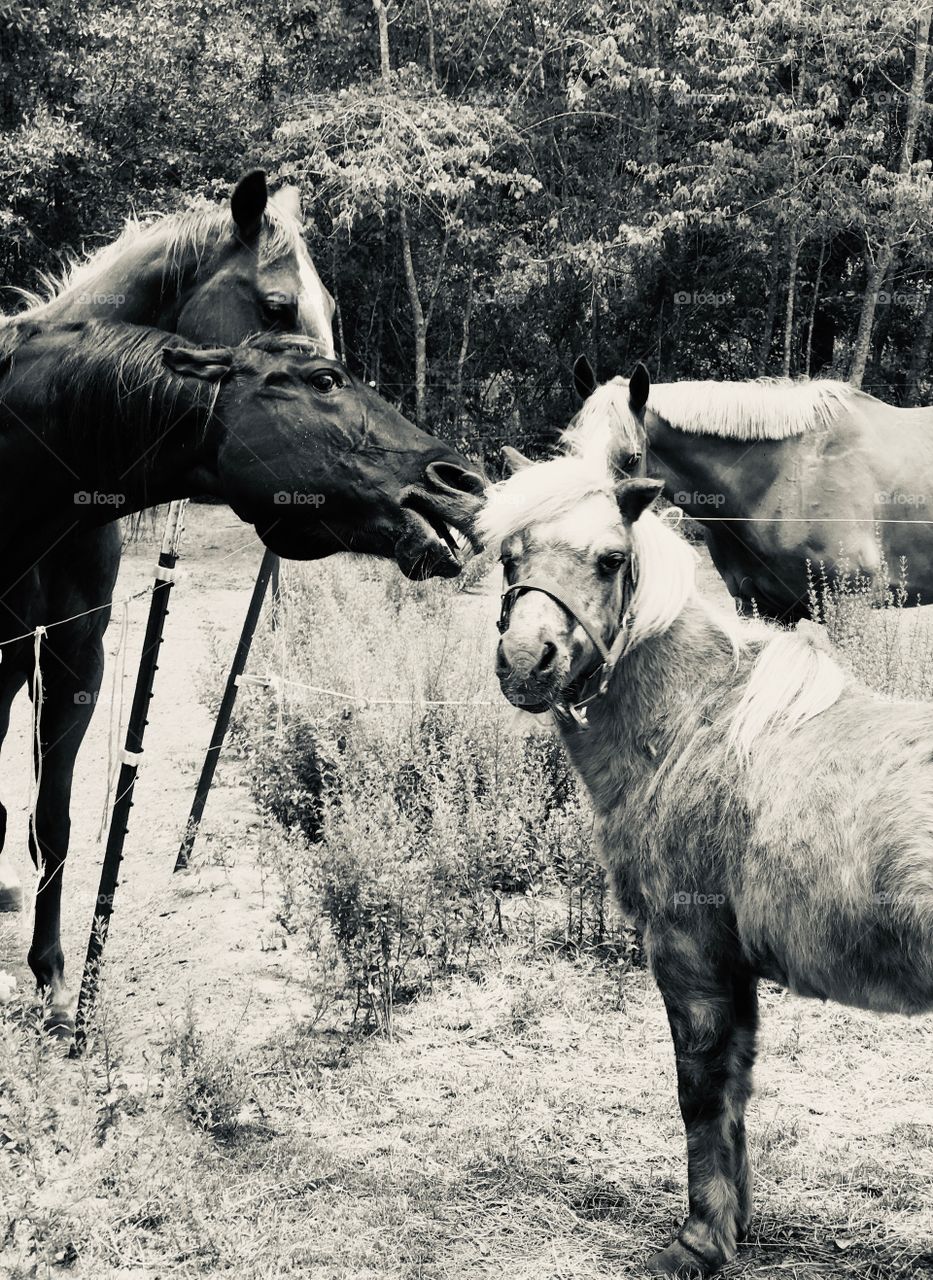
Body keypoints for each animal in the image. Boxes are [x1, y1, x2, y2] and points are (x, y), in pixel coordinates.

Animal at [483, 420, 933, 1275]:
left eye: (609, 558)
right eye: (508, 555)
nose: (527, 662)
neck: (697, 722)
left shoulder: (688, 952)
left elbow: (700, 1090)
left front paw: (696, 1240)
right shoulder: (732, 965)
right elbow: (735, 1090)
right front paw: (733, 1222)